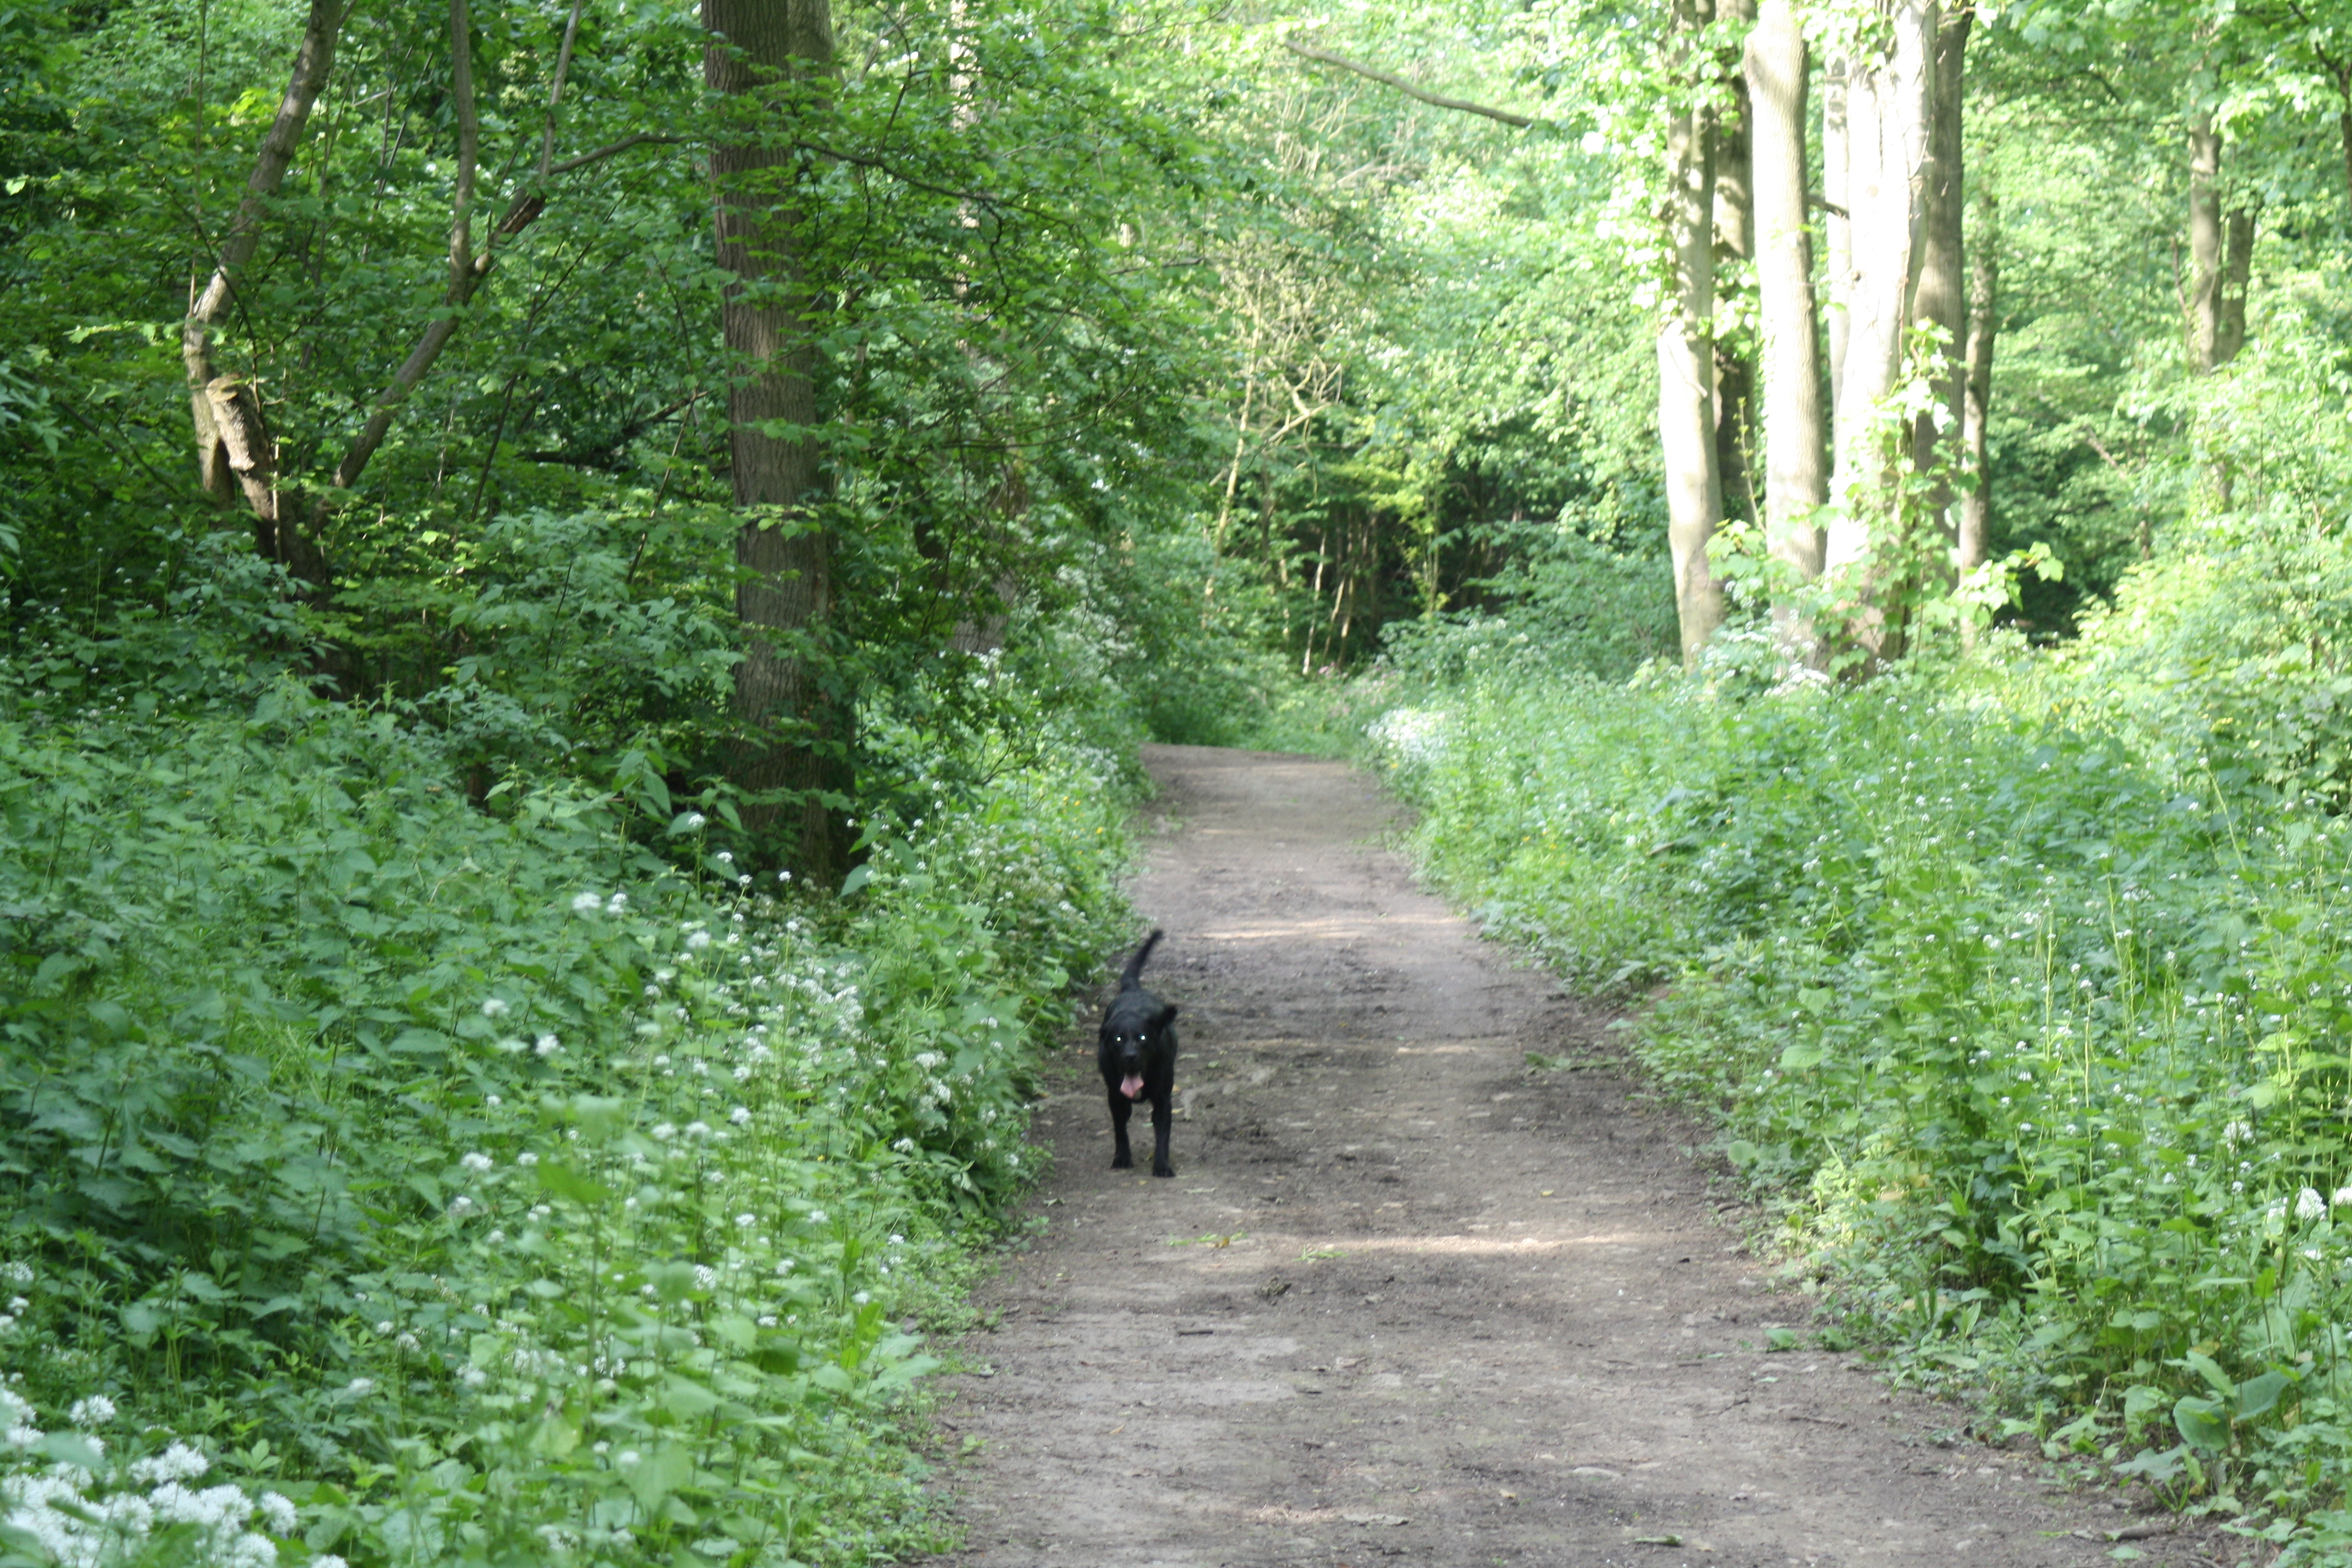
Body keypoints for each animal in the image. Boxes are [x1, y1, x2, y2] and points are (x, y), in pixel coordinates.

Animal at [1096, 930, 1176, 1175]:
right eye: (1118, 1040)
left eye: (1143, 1038)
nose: (1130, 1057)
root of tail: (1134, 990)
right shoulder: (1116, 1098)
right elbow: (1120, 1131)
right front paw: (1122, 1158)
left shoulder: (1163, 1100)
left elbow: (1163, 1135)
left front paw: (1162, 1165)